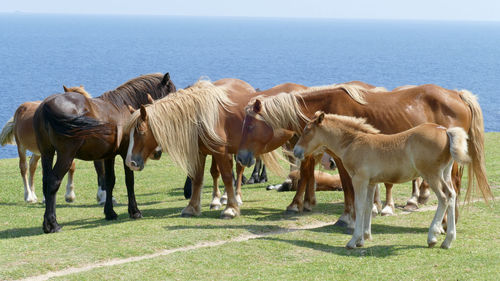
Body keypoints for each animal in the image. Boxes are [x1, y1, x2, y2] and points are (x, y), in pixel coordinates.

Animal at [32, 72, 175, 232]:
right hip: (65, 156)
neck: (124, 108)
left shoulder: (109, 156)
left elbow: (109, 181)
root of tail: (46, 106)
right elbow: (129, 181)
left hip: (47, 153)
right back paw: (53, 224)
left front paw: (110, 212)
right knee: (53, 182)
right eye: (171, 91)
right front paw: (134, 211)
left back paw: (46, 224)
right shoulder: (127, 154)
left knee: (45, 182)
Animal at [236, 82, 490, 229]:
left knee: (453, 186)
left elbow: (348, 187)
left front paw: (348, 218)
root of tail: (458, 95)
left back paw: (447, 222)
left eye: (250, 125)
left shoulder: (341, 160)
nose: (241, 157)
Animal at [292, 111, 492, 247]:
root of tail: (445, 131)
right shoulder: (371, 182)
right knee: (452, 195)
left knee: (444, 197)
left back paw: (433, 237)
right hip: (444, 173)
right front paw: (364, 237)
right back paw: (447, 240)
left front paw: (353, 240)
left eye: (307, 130)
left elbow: (359, 206)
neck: (353, 142)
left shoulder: (359, 180)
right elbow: (368, 207)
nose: (296, 151)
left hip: (432, 174)